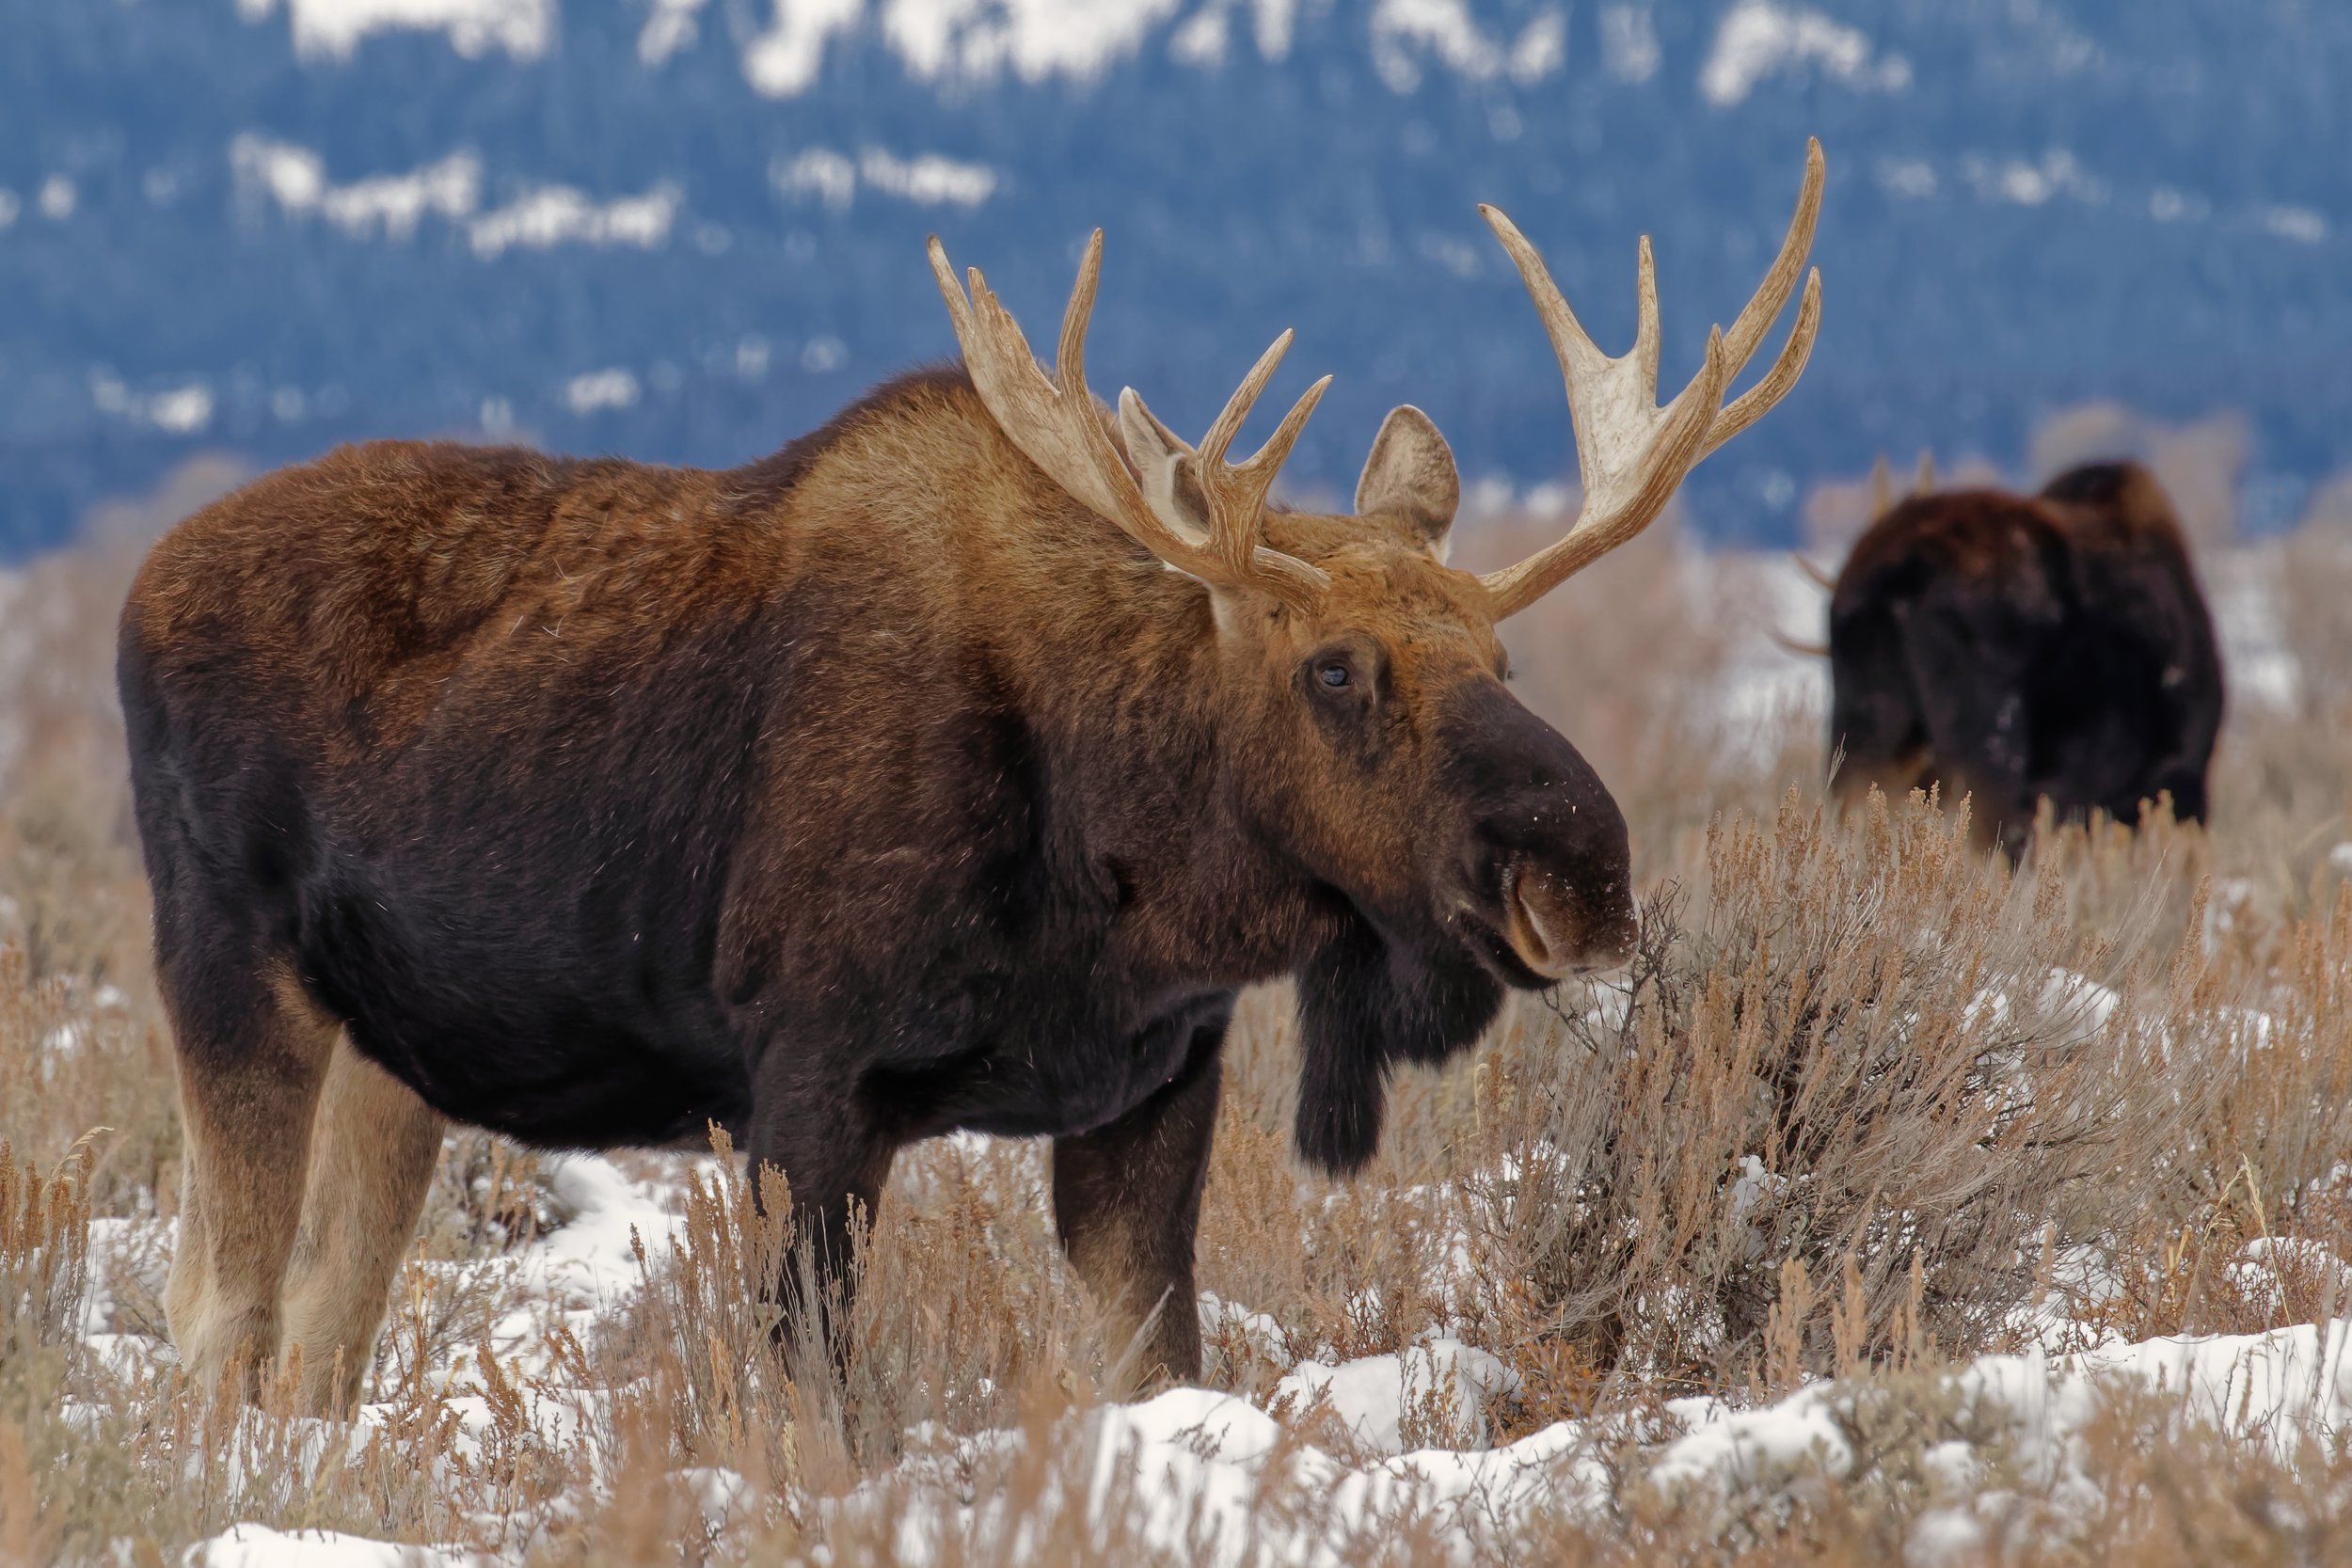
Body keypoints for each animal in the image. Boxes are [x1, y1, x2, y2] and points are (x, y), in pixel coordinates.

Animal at [116, 143, 1824, 1411]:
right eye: (1334, 668)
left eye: (1503, 659)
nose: (1578, 871)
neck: (1124, 866)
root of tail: (140, 586)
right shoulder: (806, 1080)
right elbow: (812, 1407)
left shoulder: (1153, 1087)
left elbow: (1155, 1377)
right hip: (228, 968)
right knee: (217, 1309)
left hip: (397, 1053)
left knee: (320, 1332)